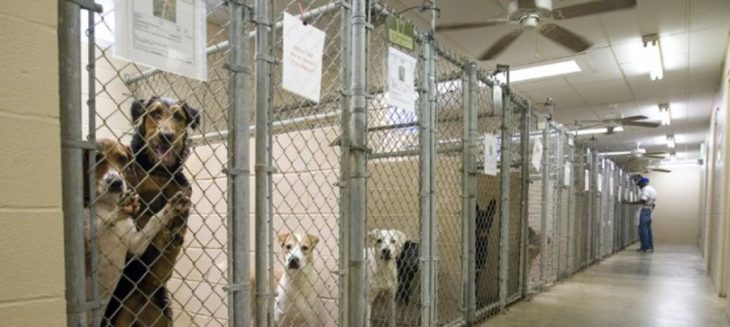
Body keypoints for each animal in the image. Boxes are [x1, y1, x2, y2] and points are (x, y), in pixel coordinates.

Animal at [83, 139, 191, 322]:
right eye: (96, 158)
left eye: (122, 158)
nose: (116, 182)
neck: (108, 203)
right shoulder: (83, 241)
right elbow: (103, 221)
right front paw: (119, 210)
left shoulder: (135, 246)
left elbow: (154, 219)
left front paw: (171, 207)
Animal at [103, 96, 199, 326]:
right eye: (155, 113)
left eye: (178, 116)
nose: (167, 136)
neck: (159, 171)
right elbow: (144, 213)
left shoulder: (183, 190)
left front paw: (173, 232)